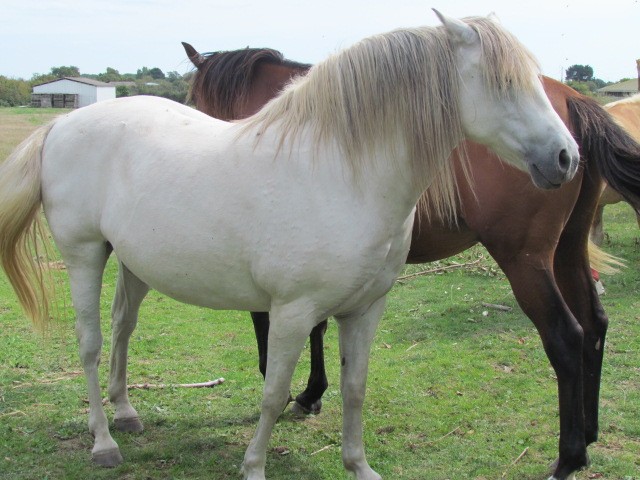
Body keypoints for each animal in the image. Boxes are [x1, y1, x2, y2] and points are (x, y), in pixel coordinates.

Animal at [0, 11, 576, 480]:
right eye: (504, 83)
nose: (566, 158)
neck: (341, 174)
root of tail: (62, 124)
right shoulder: (293, 311)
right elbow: (274, 394)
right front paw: (253, 466)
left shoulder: (365, 310)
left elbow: (354, 388)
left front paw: (358, 466)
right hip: (84, 255)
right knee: (91, 343)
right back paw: (103, 442)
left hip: (133, 263)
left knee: (123, 327)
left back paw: (126, 413)